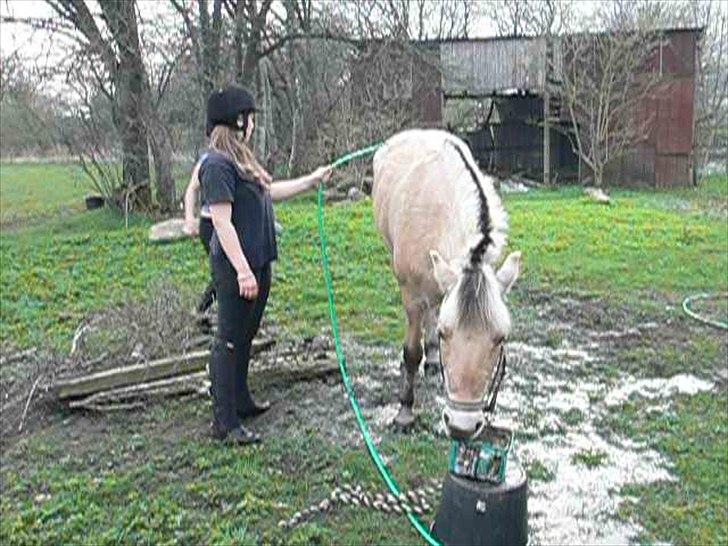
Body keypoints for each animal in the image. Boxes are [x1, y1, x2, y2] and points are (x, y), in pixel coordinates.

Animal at [372, 129, 521, 440]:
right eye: (445, 333)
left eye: (500, 339)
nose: (461, 427)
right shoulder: (411, 294)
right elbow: (411, 352)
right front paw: (405, 412)